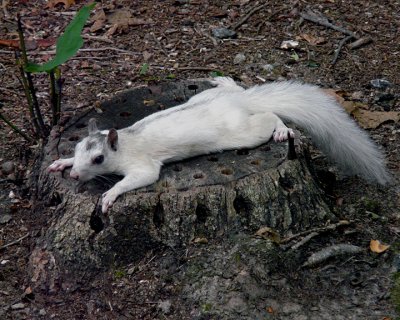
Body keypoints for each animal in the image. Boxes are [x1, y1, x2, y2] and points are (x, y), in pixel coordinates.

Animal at [47, 77, 390, 212]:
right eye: (76, 149)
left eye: (99, 159)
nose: (75, 176)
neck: (127, 141)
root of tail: (240, 102)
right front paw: (62, 162)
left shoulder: (143, 165)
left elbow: (139, 178)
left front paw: (109, 195)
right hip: (206, 96)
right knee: (237, 88)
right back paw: (225, 80)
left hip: (245, 131)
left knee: (270, 116)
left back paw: (282, 131)